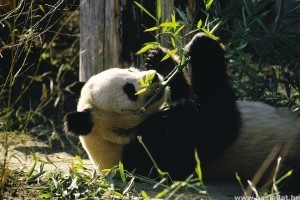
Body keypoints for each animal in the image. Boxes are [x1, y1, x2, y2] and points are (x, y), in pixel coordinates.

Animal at [63, 33, 300, 193]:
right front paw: (201, 44)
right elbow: (213, 117)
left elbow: (184, 95)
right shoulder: (153, 146)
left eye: (130, 70)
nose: (153, 77)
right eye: (128, 90)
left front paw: (158, 57)